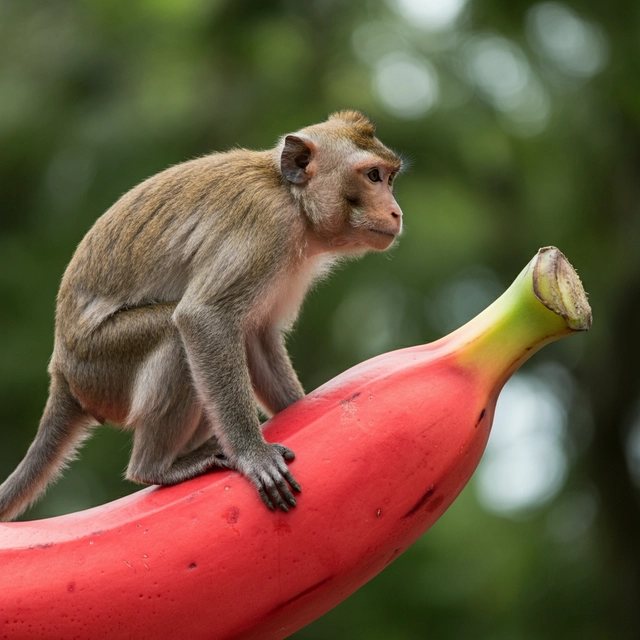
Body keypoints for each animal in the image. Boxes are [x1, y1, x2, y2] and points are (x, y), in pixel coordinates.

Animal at [0, 110, 403, 521]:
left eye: (389, 178)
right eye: (373, 176)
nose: (396, 212)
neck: (292, 199)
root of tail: (62, 374)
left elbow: (256, 336)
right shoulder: (265, 228)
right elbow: (204, 318)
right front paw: (253, 454)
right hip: (100, 367)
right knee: (174, 336)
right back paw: (155, 467)